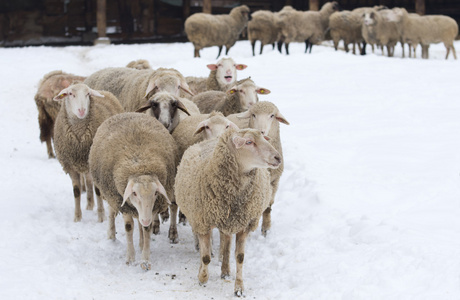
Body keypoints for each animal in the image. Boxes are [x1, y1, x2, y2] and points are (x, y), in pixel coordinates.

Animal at [52, 82, 124, 223]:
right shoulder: (71, 166)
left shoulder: (94, 164)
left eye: (88, 94)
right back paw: (90, 205)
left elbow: (97, 191)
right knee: (89, 182)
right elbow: (76, 191)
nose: (82, 111)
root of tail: (104, 91)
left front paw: (101, 216)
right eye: (70, 94)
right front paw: (77, 217)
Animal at [89, 112, 179, 270]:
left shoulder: (152, 208)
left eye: (155, 193)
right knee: (111, 214)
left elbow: (147, 229)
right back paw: (111, 236)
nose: (146, 219)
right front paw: (130, 258)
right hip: (110, 195)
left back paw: (141, 242)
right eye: (134, 193)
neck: (140, 166)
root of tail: (128, 112)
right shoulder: (123, 203)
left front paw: (145, 259)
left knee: (140, 223)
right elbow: (129, 227)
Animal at [175, 127, 280, 296]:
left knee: (226, 244)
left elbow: (240, 257)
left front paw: (239, 288)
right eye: (249, 142)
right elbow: (205, 257)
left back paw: (225, 271)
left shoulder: (244, 225)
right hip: (202, 221)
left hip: (228, 223)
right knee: (208, 249)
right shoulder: (203, 223)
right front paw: (202, 278)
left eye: (264, 138)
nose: (277, 157)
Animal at [226, 102, 288, 236]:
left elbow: (269, 206)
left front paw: (266, 228)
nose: (261, 131)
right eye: (253, 115)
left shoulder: (274, 181)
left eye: (272, 115)